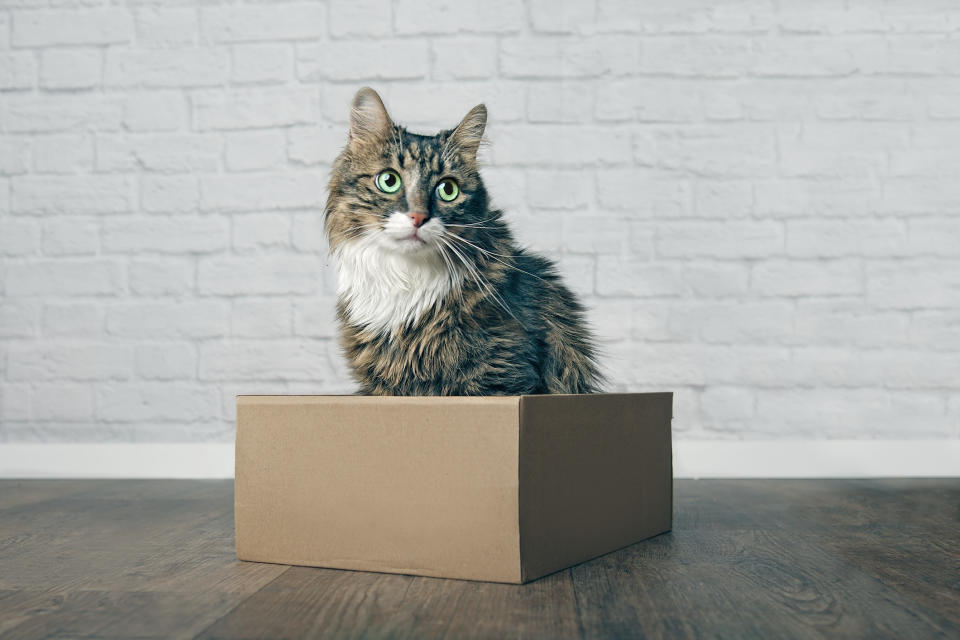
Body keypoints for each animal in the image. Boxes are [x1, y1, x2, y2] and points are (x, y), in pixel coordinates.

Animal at [326, 86, 604, 396]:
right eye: (389, 181)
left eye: (448, 189)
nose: (418, 217)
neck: (406, 277)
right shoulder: (381, 385)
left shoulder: (502, 374)